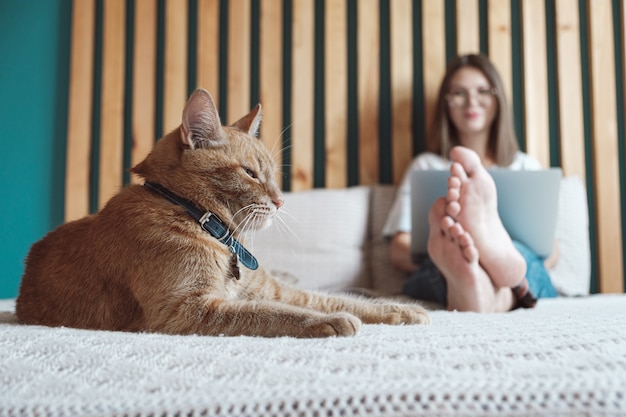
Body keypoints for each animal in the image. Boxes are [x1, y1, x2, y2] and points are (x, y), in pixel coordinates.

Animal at [18, 89, 428, 336]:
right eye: (250, 173)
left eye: (272, 174)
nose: (281, 200)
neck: (199, 219)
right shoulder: (187, 311)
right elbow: (272, 313)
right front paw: (329, 323)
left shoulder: (272, 289)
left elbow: (335, 298)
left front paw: (400, 310)